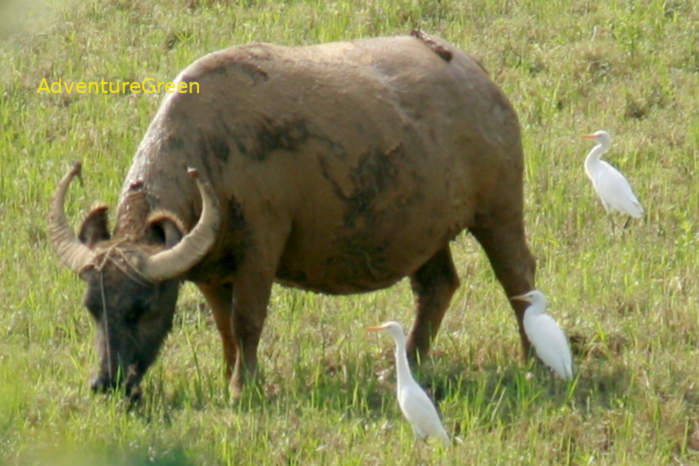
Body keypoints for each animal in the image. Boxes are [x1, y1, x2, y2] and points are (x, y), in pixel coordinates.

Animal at [49, 32, 536, 399]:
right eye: (92, 308)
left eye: (140, 307)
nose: (105, 383)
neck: (210, 155)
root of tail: (480, 79)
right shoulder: (209, 271)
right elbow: (224, 325)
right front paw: (230, 374)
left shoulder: (260, 249)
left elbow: (246, 319)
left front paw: (242, 388)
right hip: (425, 232)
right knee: (436, 287)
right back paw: (402, 369)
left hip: (499, 212)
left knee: (518, 279)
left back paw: (533, 361)